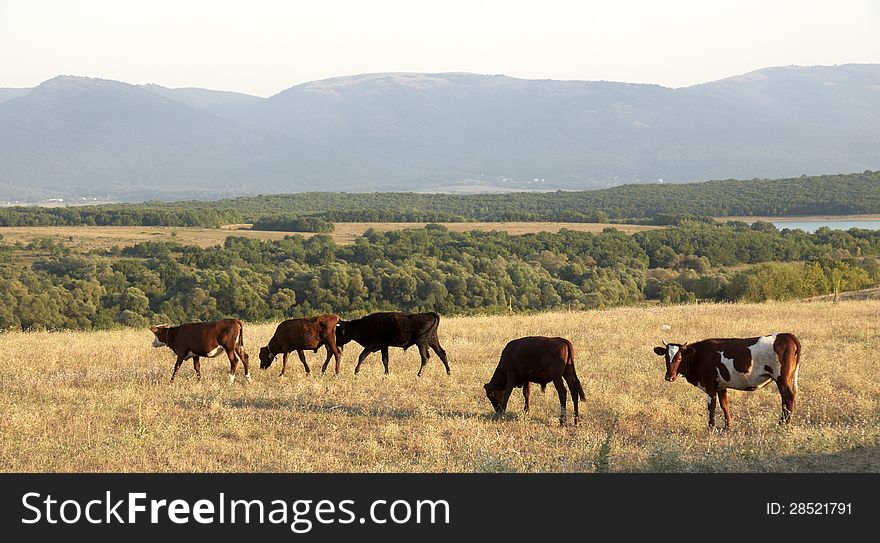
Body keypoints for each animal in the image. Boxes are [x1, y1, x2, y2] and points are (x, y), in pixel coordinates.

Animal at [648, 332, 800, 430]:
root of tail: (786, 335)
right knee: (786, 399)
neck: (699, 355)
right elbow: (724, 405)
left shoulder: (710, 385)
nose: (669, 377)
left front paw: (711, 427)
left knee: (788, 397)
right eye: (666, 358)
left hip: (782, 378)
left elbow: (712, 406)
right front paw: (728, 426)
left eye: (680, 358)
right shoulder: (721, 386)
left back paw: (783, 425)